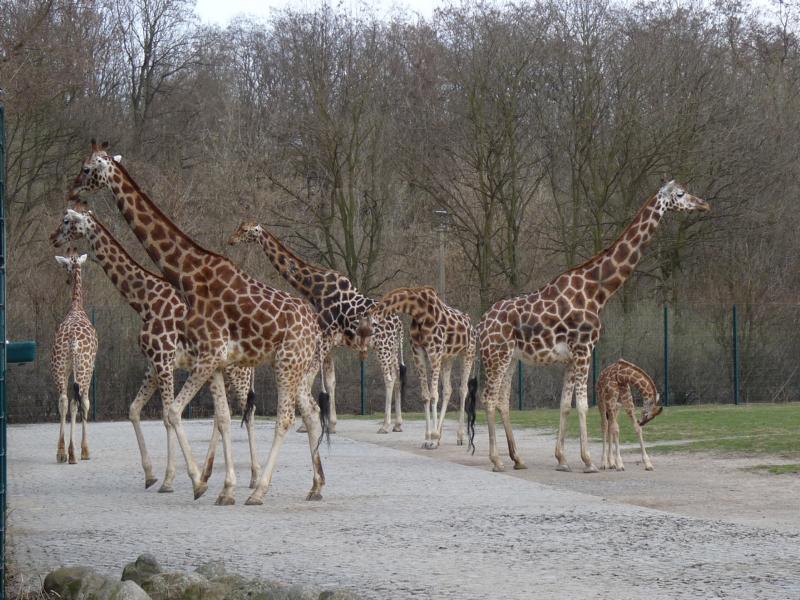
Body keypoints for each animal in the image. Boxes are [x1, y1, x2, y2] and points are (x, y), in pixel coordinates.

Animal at [51, 208, 259, 491]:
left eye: (67, 221)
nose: (53, 238)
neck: (146, 299)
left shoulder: (164, 360)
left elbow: (168, 415)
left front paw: (172, 479)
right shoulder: (152, 364)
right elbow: (135, 410)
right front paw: (151, 475)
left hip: (238, 372)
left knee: (249, 412)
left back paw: (253, 478)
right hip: (222, 371)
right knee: (224, 415)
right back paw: (216, 474)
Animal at [228, 222, 406, 434]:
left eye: (245, 230)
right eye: (239, 227)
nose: (232, 240)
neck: (315, 290)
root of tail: (399, 324)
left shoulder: (325, 339)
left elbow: (309, 377)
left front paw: (306, 425)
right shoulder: (331, 345)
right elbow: (330, 382)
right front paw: (332, 424)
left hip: (382, 346)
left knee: (389, 377)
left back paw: (385, 426)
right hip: (392, 347)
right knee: (397, 375)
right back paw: (398, 424)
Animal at [358, 286, 476, 448]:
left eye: (373, 325)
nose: (362, 352)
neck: (418, 311)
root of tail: (471, 325)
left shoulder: (434, 352)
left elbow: (434, 395)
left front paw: (433, 439)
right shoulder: (418, 352)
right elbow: (426, 396)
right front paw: (429, 437)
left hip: (468, 352)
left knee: (463, 389)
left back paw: (459, 436)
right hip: (448, 357)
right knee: (448, 389)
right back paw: (440, 434)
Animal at [467, 180, 708, 472]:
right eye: (681, 194)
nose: (704, 204)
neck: (597, 291)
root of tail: (481, 324)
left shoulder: (572, 357)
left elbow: (565, 405)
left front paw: (562, 459)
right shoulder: (584, 350)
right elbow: (582, 405)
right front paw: (589, 461)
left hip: (511, 357)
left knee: (502, 400)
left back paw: (518, 459)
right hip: (496, 355)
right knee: (489, 398)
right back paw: (498, 460)